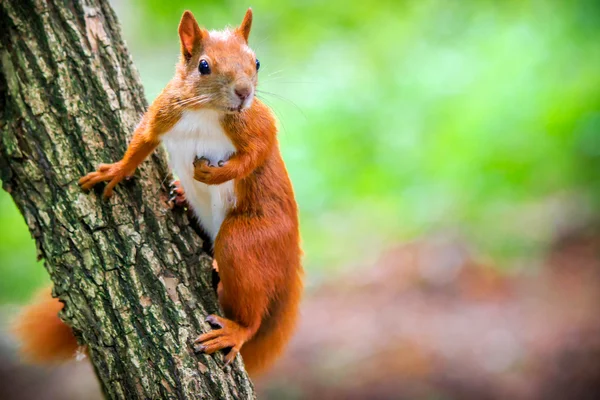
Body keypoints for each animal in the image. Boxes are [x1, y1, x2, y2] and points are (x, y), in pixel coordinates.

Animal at [14, 10, 302, 378]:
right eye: (204, 65)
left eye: (256, 62)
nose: (243, 93)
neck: (205, 111)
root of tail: (290, 253)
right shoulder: (165, 110)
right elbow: (142, 140)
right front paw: (116, 171)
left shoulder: (256, 123)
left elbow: (258, 153)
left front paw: (213, 173)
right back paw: (181, 195)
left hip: (250, 237)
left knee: (248, 303)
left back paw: (236, 329)